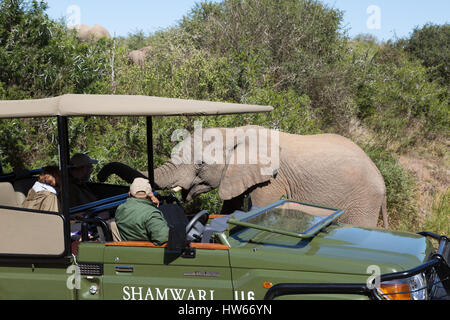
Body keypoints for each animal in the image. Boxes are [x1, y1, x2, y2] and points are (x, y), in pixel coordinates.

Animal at [100, 126, 388, 229]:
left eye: (201, 164)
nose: (100, 172)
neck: (234, 132)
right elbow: (231, 206)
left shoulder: (273, 179)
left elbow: (258, 209)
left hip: (364, 200)